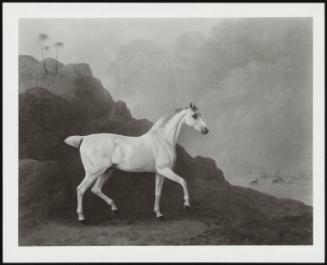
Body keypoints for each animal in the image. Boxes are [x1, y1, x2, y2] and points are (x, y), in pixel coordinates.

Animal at [64, 102, 210, 220]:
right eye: (195, 115)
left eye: (200, 114)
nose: (206, 130)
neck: (162, 140)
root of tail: (84, 138)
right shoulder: (164, 169)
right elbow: (183, 181)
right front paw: (186, 205)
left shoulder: (159, 172)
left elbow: (157, 193)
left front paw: (159, 214)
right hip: (93, 173)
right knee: (81, 189)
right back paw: (82, 217)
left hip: (107, 171)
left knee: (96, 189)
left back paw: (114, 208)